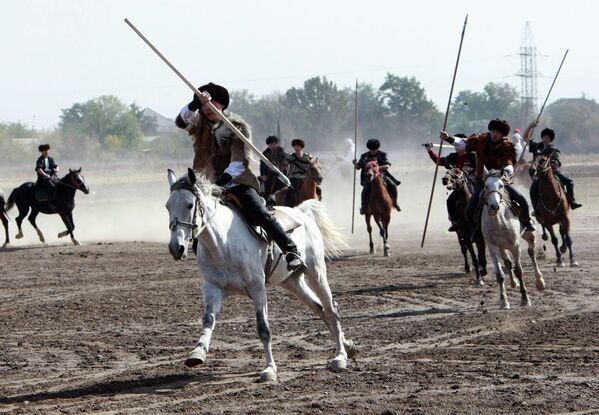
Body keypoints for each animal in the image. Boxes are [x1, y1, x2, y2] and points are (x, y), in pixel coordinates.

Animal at [165, 170, 356, 384]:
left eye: (190, 205)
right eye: (167, 206)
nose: (176, 248)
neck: (223, 243)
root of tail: (301, 213)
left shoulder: (257, 288)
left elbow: (264, 329)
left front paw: (269, 369)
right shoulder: (212, 288)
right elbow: (208, 320)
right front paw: (197, 353)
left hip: (316, 272)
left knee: (331, 309)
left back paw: (340, 357)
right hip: (292, 282)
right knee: (320, 308)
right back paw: (348, 347)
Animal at [480, 171, 548, 310]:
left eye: (501, 185)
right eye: (485, 186)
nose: (494, 206)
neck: (499, 222)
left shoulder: (515, 246)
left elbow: (519, 271)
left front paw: (525, 299)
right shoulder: (492, 246)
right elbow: (500, 275)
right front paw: (504, 301)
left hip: (529, 235)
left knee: (531, 253)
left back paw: (539, 281)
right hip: (502, 247)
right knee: (508, 262)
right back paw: (513, 283)